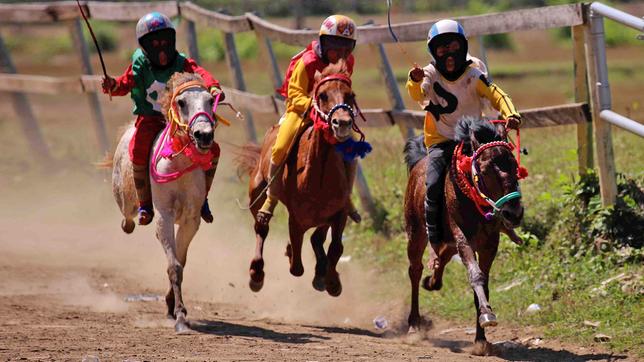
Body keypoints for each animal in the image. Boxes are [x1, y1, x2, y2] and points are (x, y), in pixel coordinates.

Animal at [112, 72, 220, 332]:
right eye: (181, 102)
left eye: (210, 101)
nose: (204, 135)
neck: (180, 163)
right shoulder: (165, 215)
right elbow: (174, 266)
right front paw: (180, 317)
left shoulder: (190, 220)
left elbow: (180, 261)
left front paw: (174, 307)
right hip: (126, 199)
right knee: (128, 219)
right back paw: (133, 220)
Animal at [236, 60, 358, 296]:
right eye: (323, 95)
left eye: (350, 95)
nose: (342, 123)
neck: (319, 177)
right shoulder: (296, 218)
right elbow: (297, 266)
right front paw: (291, 252)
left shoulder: (338, 212)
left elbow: (334, 246)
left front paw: (331, 280)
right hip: (257, 191)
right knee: (261, 227)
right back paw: (257, 273)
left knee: (317, 238)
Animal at [406, 117, 524, 354]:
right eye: (486, 170)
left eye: (514, 166)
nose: (514, 213)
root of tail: (418, 163)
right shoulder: (464, 239)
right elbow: (476, 276)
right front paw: (487, 315)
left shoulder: (489, 245)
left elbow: (483, 284)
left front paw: (481, 339)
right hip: (416, 233)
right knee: (414, 270)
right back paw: (414, 325)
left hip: (447, 243)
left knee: (440, 258)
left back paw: (432, 281)